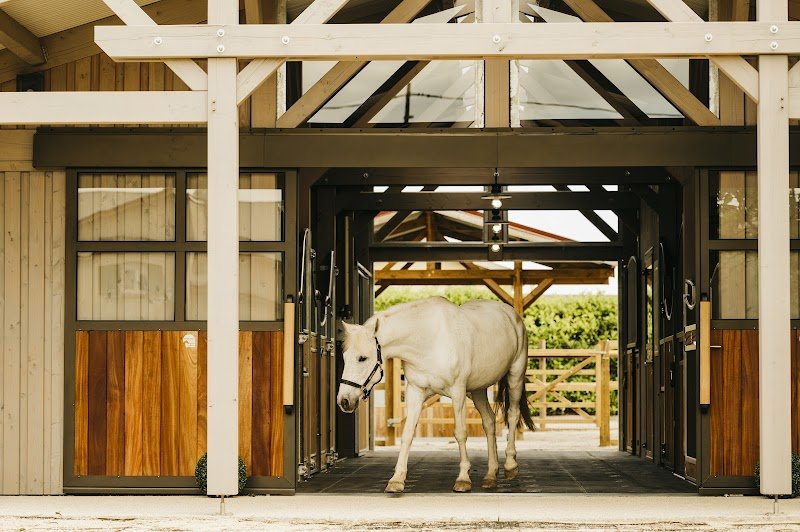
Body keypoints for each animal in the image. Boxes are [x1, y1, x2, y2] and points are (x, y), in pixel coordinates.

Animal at [336, 296, 535, 493]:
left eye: (362, 358)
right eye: (344, 357)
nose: (344, 401)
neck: (428, 340)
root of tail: (512, 314)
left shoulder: (457, 392)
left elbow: (460, 433)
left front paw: (463, 479)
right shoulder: (415, 391)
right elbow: (408, 434)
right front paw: (397, 479)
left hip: (515, 377)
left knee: (512, 414)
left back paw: (510, 466)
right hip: (478, 389)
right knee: (489, 421)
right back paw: (491, 475)